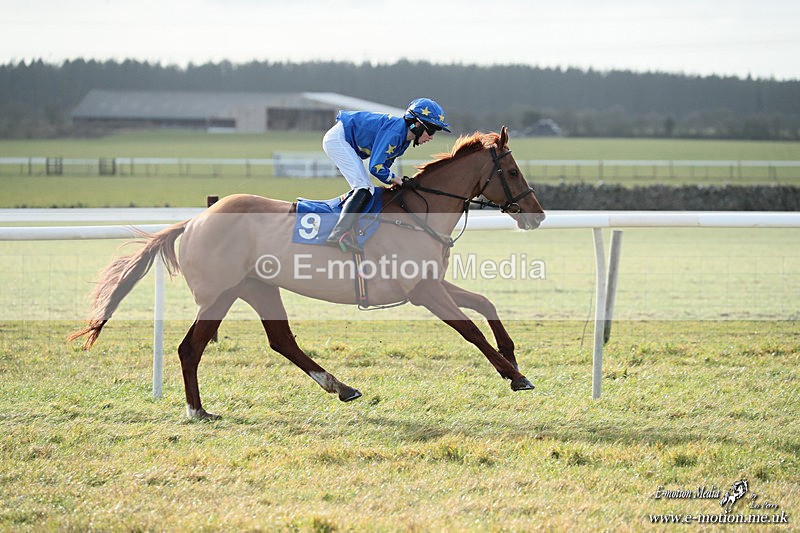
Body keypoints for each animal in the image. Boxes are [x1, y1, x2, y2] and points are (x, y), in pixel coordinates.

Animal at [69, 127, 546, 419]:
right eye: (512, 169)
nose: (537, 214)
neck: (417, 212)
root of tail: (192, 221)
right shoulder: (423, 292)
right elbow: (471, 331)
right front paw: (514, 375)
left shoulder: (430, 281)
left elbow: (486, 304)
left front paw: (513, 356)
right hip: (219, 294)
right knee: (191, 348)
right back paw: (197, 409)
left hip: (258, 288)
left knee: (281, 340)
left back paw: (341, 387)